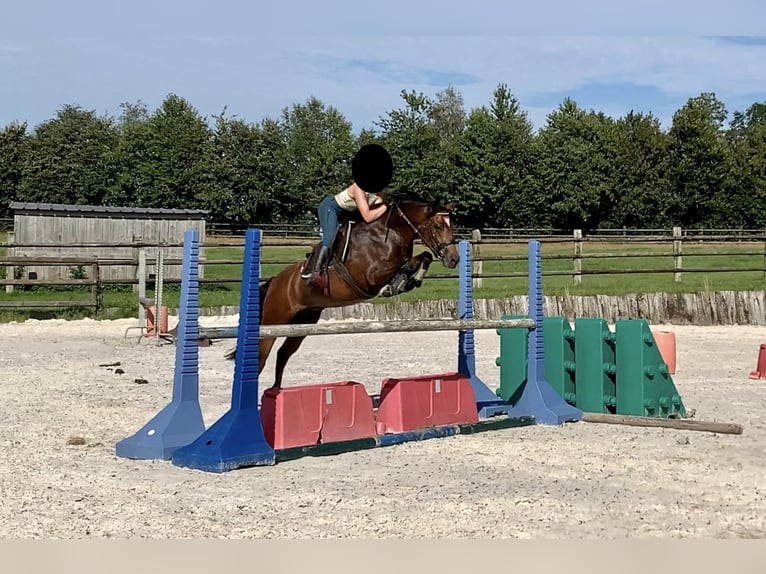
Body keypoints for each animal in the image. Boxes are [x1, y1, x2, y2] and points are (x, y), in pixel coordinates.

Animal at [224, 198, 462, 392]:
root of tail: (275, 281)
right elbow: (403, 265)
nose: (454, 259)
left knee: (283, 354)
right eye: (438, 225)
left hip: (303, 322)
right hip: (273, 322)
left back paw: (275, 391)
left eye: (452, 226)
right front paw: (397, 284)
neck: (391, 233)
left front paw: (411, 280)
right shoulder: (371, 275)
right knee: (261, 358)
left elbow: (424, 256)